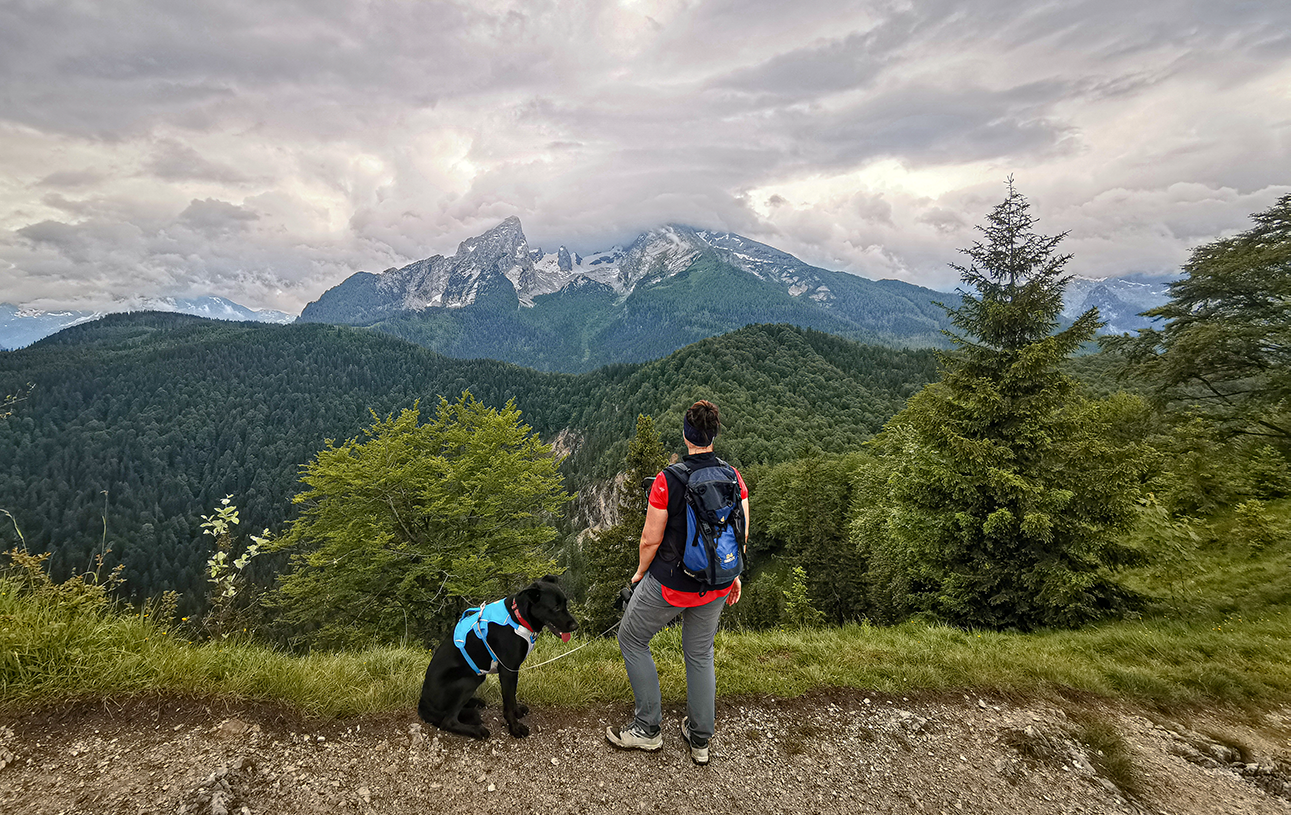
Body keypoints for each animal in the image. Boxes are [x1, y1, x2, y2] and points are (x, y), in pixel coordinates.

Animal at [415, 573, 578, 738]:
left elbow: (512, 697)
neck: (518, 617)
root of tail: (423, 703)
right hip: (472, 678)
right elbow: (508, 702)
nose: (575, 626)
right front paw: (515, 728)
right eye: (556, 607)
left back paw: (474, 703)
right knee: (448, 721)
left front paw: (517, 713)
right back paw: (476, 731)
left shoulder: (513, 671)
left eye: (565, 603)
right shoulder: (507, 671)